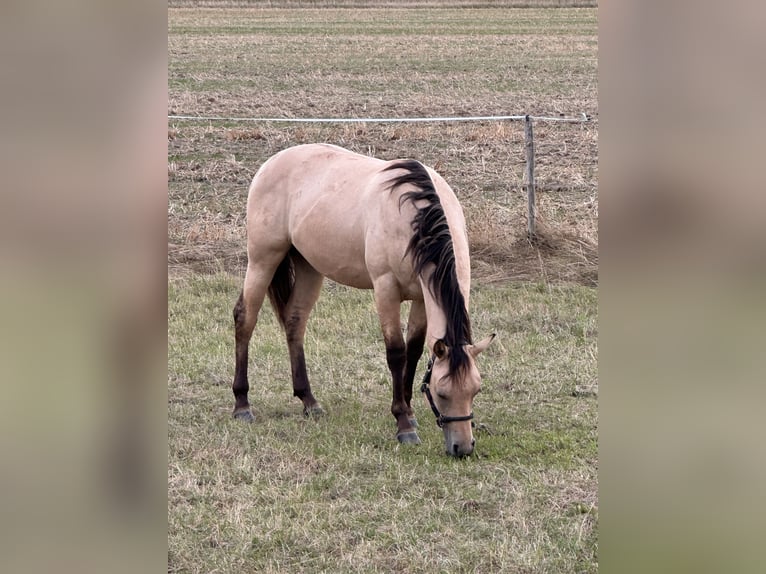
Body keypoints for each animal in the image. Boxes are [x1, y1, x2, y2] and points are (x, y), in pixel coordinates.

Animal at [232, 143, 494, 456]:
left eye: (476, 390)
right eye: (442, 392)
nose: (462, 447)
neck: (414, 217)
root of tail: (271, 163)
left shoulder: (421, 297)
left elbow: (414, 351)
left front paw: (410, 412)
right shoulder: (386, 289)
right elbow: (396, 353)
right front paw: (403, 425)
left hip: (309, 267)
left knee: (295, 323)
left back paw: (309, 401)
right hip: (263, 259)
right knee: (245, 319)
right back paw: (242, 405)